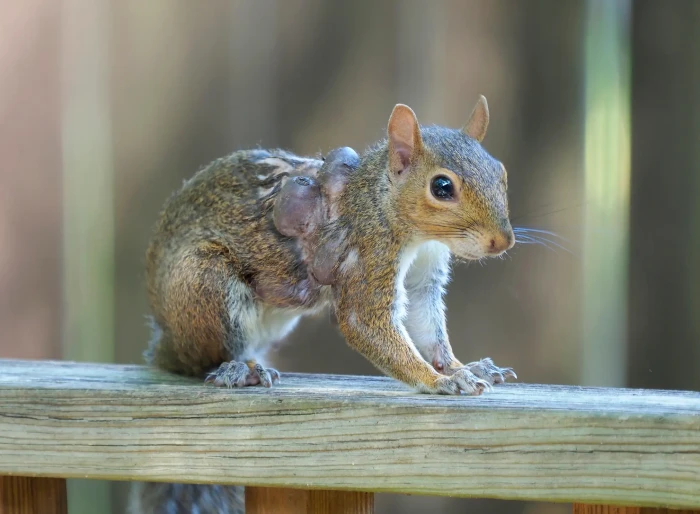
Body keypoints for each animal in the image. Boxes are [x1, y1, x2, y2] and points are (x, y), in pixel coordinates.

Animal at [130, 96, 516, 514]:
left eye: (501, 172)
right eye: (442, 187)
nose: (503, 241)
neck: (381, 200)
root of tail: (165, 339)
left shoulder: (423, 277)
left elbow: (428, 329)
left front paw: (464, 367)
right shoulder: (369, 252)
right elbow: (365, 323)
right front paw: (438, 380)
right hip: (207, 283)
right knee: (198, 360)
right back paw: (239, 369)